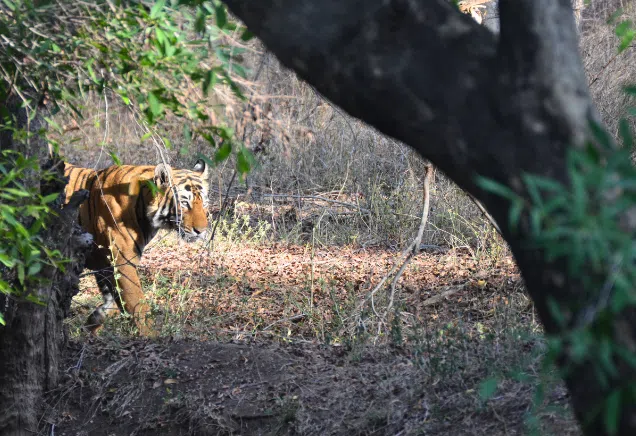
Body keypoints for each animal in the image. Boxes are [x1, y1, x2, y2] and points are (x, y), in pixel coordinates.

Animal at [63, 158, 210, 336]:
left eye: (204, 204)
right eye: (184, 203)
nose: (201, 231)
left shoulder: (103, 263)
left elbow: (113, 301)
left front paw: (92, 322)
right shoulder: (122, 261)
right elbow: (137, 303)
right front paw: (150, 335)